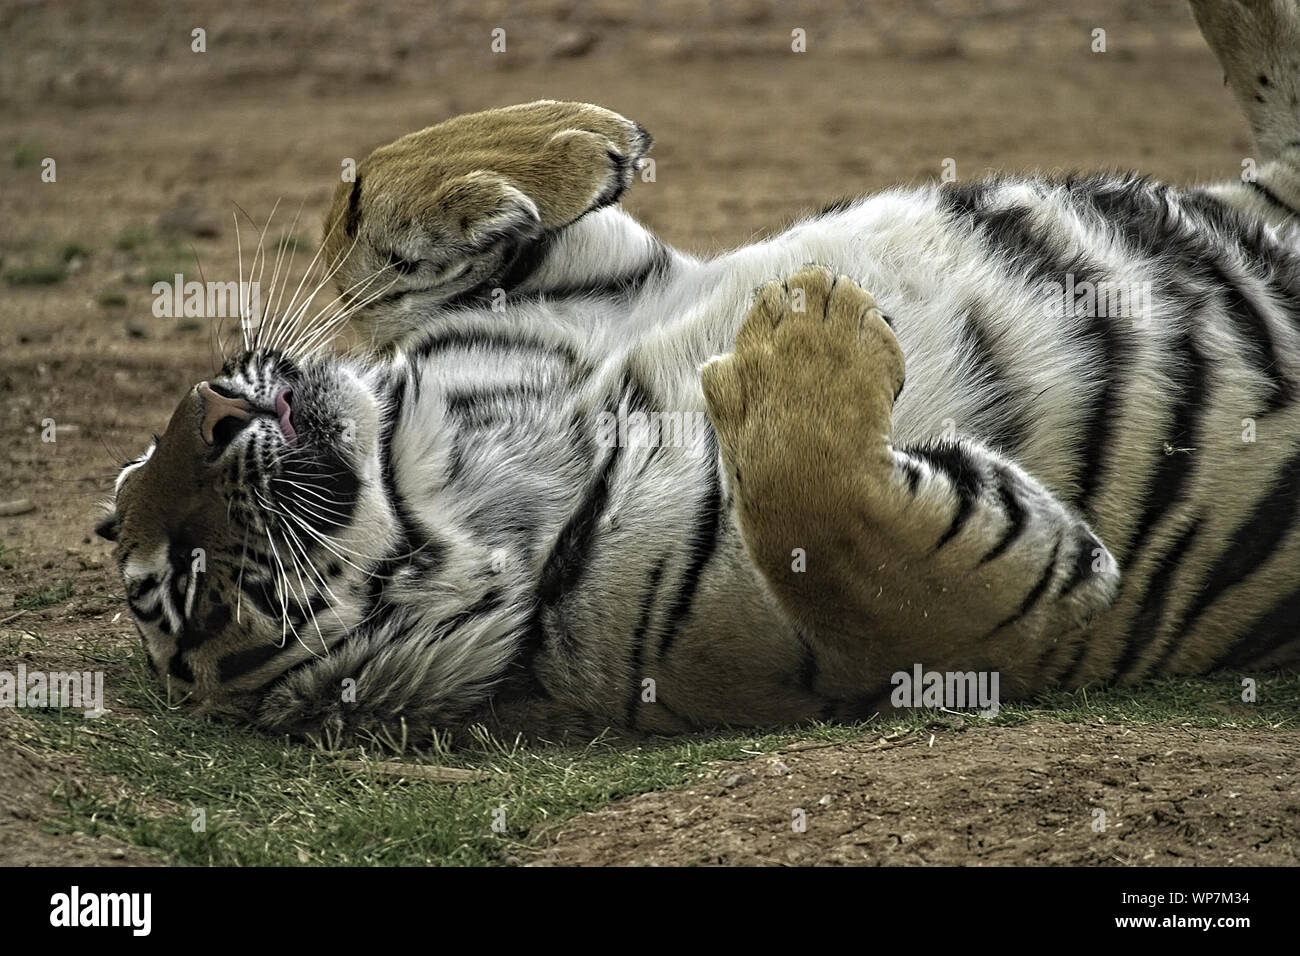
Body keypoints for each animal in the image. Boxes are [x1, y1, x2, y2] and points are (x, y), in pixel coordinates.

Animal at [98, 0, 1300, 743]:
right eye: (183, 584)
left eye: (127, 481)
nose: (205, 407)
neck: (441, 462)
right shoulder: (981, 627)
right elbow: (813, 506)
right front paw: (800, 331)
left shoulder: (592, 278)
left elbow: (361, 210)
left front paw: (576, 135)